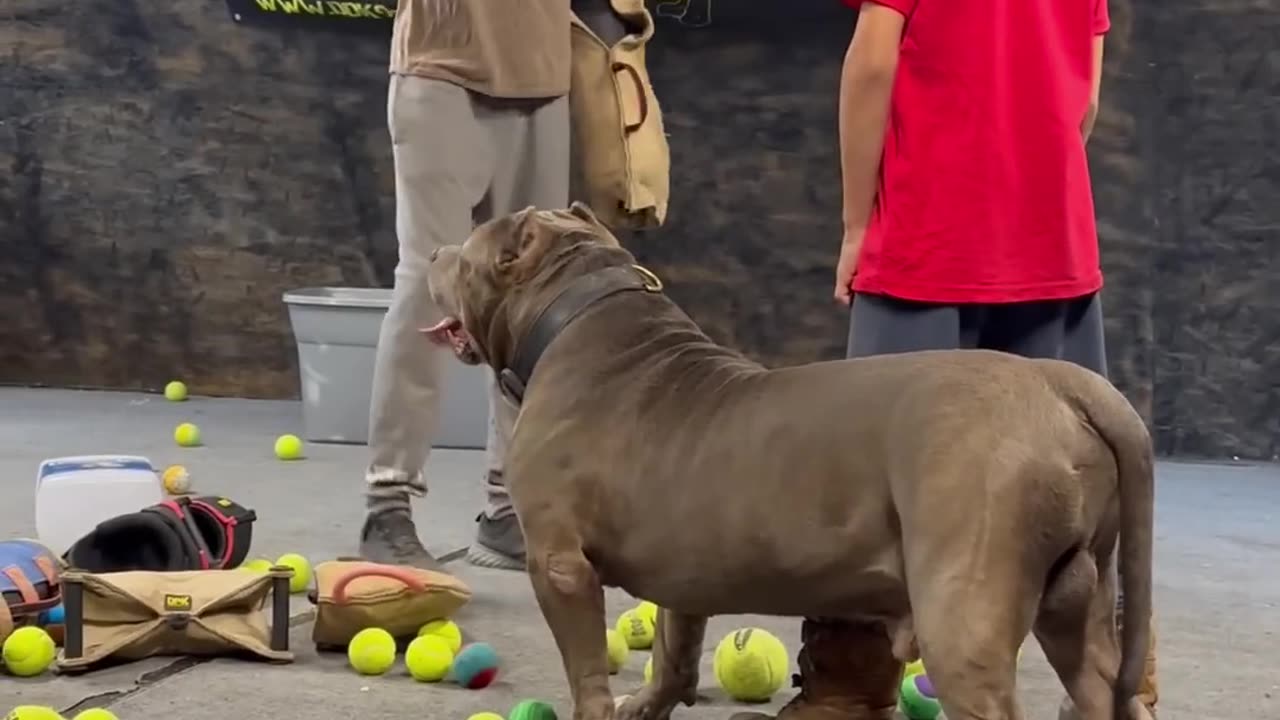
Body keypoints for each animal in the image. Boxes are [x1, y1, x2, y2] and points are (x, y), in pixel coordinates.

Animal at [424, 202, 1157, 717]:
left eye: (467, 252)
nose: (431, 248)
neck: (577, 310)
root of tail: (1058, 384)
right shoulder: (684, 573)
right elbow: (674, 654)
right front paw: (646, 706)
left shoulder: (561, 565)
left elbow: (585, 673)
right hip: (1077, 597)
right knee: (1100, 688)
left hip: (964, 612)